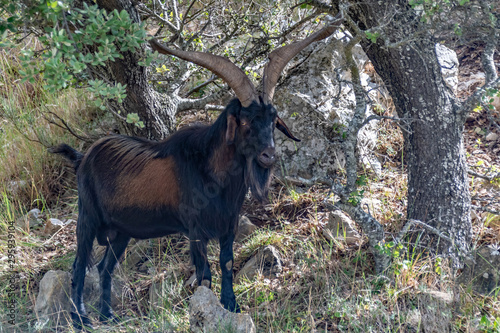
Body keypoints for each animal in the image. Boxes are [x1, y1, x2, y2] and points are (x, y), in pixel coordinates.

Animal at [50, 19, 342, 328]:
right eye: (245, 121)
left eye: (274, 119)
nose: (268, 156)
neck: (212, 174)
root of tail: (83, 157)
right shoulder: (195, 229)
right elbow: (205, 272)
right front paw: (208, 311)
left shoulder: (229, 224)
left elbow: (227, 263)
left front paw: (231, 306)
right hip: (87, 218)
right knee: (79, 266)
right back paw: (81, 319)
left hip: (121, 231)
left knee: (105, 267)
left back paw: (108, 315)